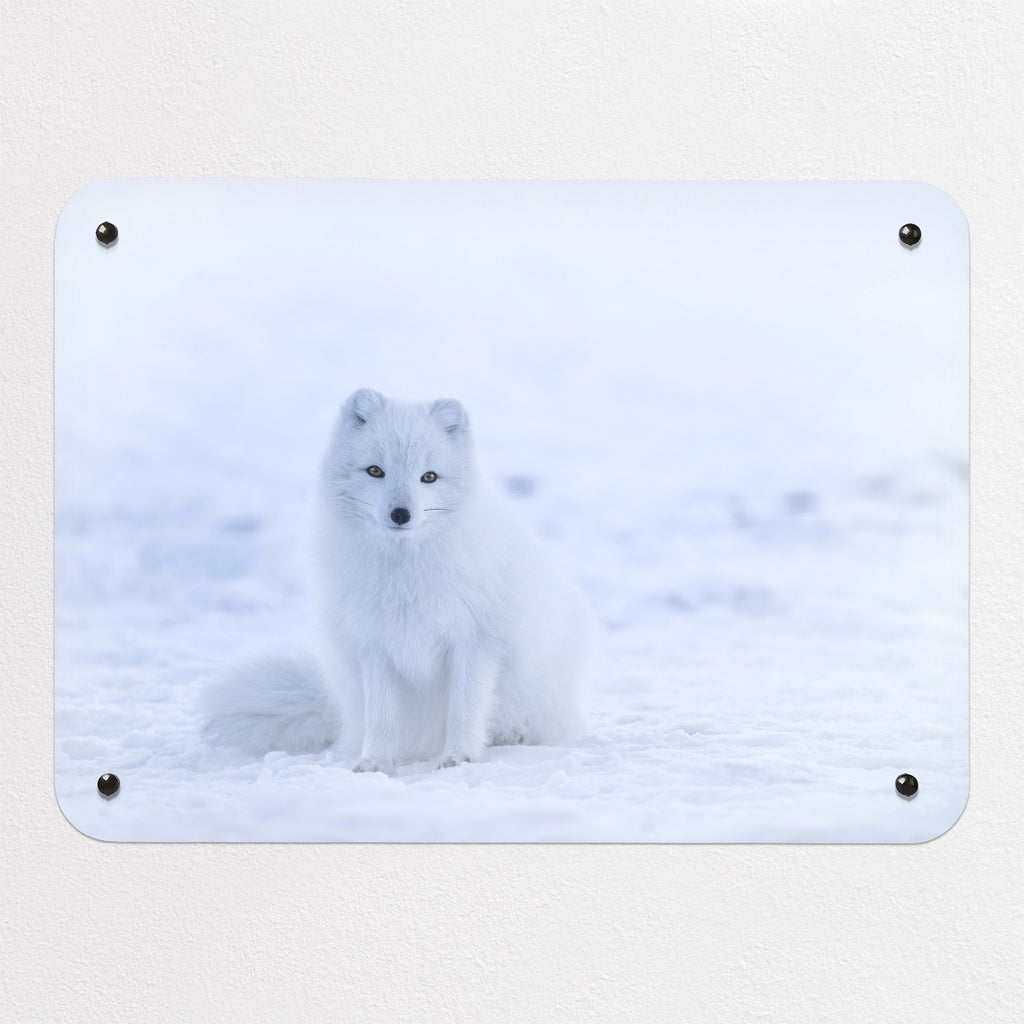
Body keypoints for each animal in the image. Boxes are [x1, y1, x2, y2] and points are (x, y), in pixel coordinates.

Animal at [202, 388, 594, 772]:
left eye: (429, 477)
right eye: (376, 471)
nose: (401, 514)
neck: (405, 572)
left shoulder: (476, 642)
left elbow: (465, 708)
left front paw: (460, 757)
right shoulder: (375, 646)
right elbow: (382, 717)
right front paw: (375, 762)